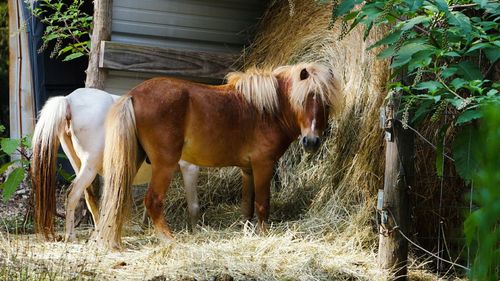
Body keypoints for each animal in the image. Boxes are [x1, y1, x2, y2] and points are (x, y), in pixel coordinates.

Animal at [30, 88, 199, 241]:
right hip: (90, 166)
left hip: (79, 164)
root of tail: (69, 100)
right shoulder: (189, 168)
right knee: (73, 193)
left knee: (89, 197)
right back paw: (71, 236)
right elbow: (193, 206)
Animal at [95, 61, 342, 247]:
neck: (266, 111)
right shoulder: (263, 165)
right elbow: (263, 204)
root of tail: (133, 94)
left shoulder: (247, 170)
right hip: (164, 164)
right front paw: (264, 235)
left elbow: (247, 207)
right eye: (303, 100)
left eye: (326, 103)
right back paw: (169, 239)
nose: (311, 141)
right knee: (153, 201)